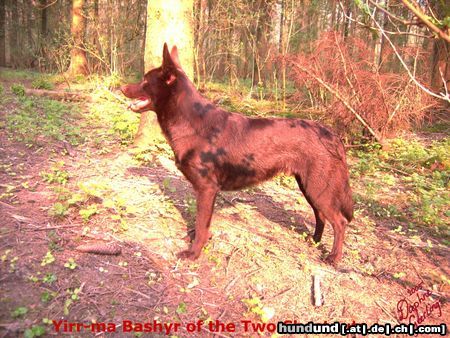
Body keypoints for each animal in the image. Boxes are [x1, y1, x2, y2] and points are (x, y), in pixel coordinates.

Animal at [121, 43, 354, 264]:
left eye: (144, 81)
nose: (122, 87)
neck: (192, 123)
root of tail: (331, 134)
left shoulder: (207, 189)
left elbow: (201, 224)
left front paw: (194, 253)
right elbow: (201, 225)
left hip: (318, 187)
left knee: (340, 222)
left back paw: (333, 257)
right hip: (309, 186)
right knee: (321, 216)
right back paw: (314, 241)